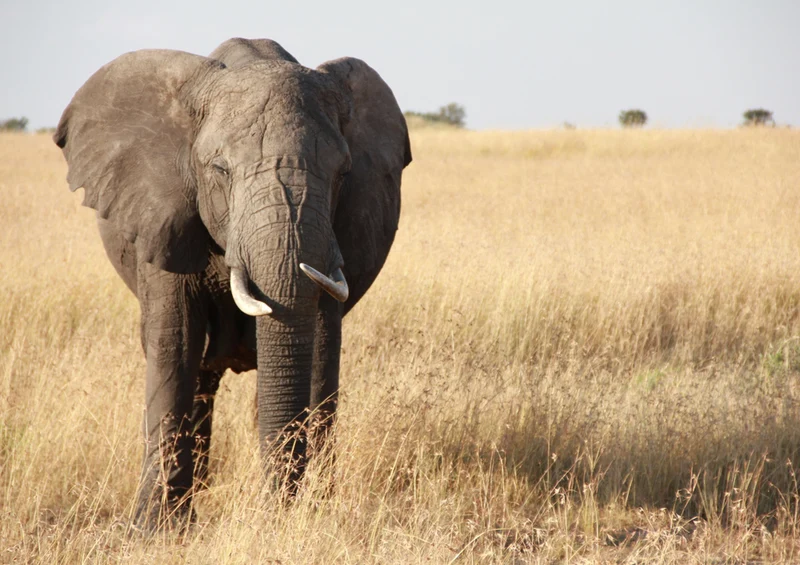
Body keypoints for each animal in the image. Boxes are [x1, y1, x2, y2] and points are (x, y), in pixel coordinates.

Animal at [53, 37, 411, 530]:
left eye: (344, 173)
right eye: (220, 171)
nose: (276, 511)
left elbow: (321, 345)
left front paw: (312, 513)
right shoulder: (162, 214)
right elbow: (174, 343)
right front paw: (154, 530)